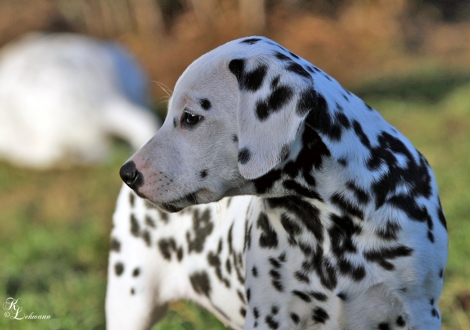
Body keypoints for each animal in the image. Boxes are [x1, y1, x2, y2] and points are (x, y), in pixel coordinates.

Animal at [107, 36, 448, 330]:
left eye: (191, 117)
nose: (127, 173)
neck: (334, 224)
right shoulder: (271, 316)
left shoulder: (419, 313)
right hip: (130, 306)